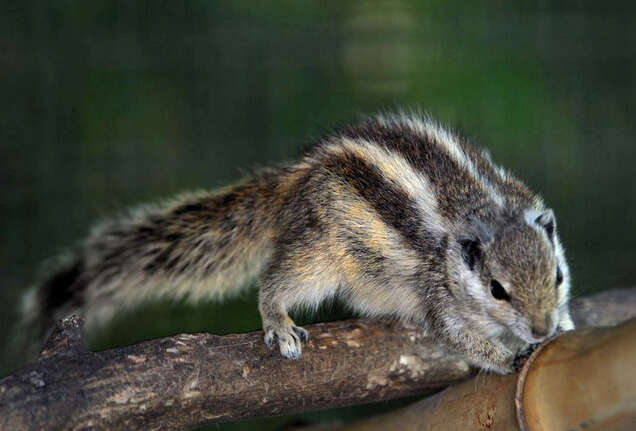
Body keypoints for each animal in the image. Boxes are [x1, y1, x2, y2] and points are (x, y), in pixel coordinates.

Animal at [19, 112, 576, 374]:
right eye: (498, 289)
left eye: (557, 276)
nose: (542, 328)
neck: (486, 213)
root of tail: (295, 176)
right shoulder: (441, 297)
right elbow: (461, 339)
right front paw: (510, 357)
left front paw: (566, 325)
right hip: (321, 255)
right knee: (275, 282)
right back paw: (278, 321)